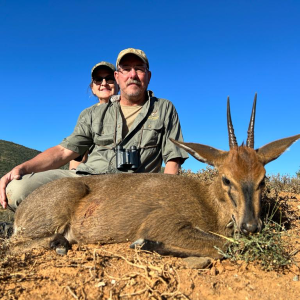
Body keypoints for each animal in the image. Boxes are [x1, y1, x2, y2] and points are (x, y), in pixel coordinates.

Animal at [10, 95, 298, 258]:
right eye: (226, 178)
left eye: (263, 179)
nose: (251, 226)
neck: (207, 202)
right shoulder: (163, 223)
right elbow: (221, 246)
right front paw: (144, 243)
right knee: (13, 244)